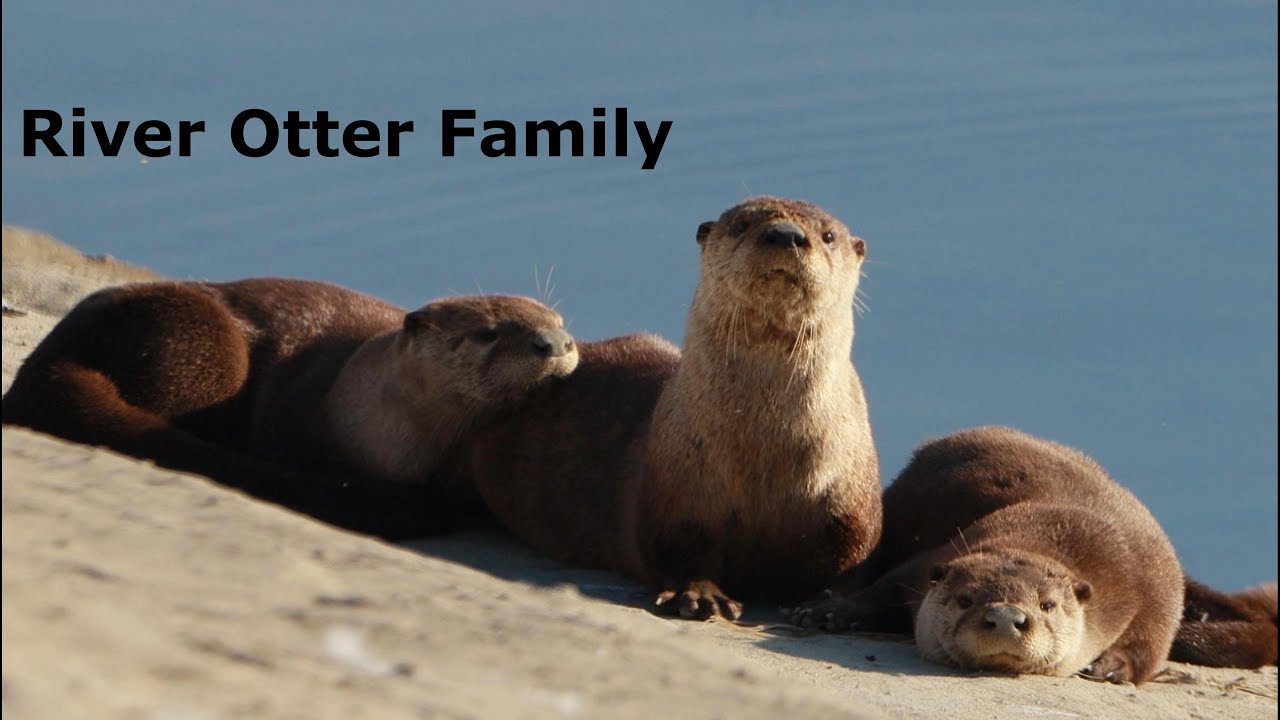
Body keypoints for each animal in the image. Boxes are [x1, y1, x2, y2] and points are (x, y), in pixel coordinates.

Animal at [462, 197, 882, 620]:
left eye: (827, 236)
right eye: (742, 224)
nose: (785, 234)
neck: (764, 455)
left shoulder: (850, 503)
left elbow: (853, 559)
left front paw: (830, 605)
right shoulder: (675, 492)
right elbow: (677, 551)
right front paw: (700, 596)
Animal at [786, 426, 1183, 685]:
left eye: (1047, 605)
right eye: (965, 599)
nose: (1006, 617)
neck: (1059, 531)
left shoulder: (1151, 582)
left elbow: (1152, 640)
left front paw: (1111, 667)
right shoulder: (933, 559)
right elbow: (884, 587)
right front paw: (828, 611)